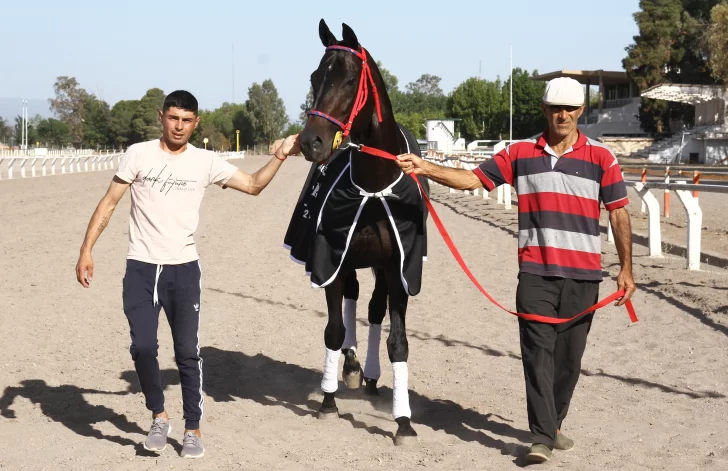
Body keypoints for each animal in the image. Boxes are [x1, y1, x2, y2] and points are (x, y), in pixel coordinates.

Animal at [288, 19, 430, 445]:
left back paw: (369, 374)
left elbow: (397, 341)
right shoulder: (331, 257)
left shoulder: (401, 267)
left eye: (350, 80)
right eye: (315, 76)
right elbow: (334, 330)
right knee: (351, 299)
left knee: (373, 308)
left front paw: (403, 421)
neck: (374, 186)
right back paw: (350, 368)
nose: (310, 142)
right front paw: (328, 400)